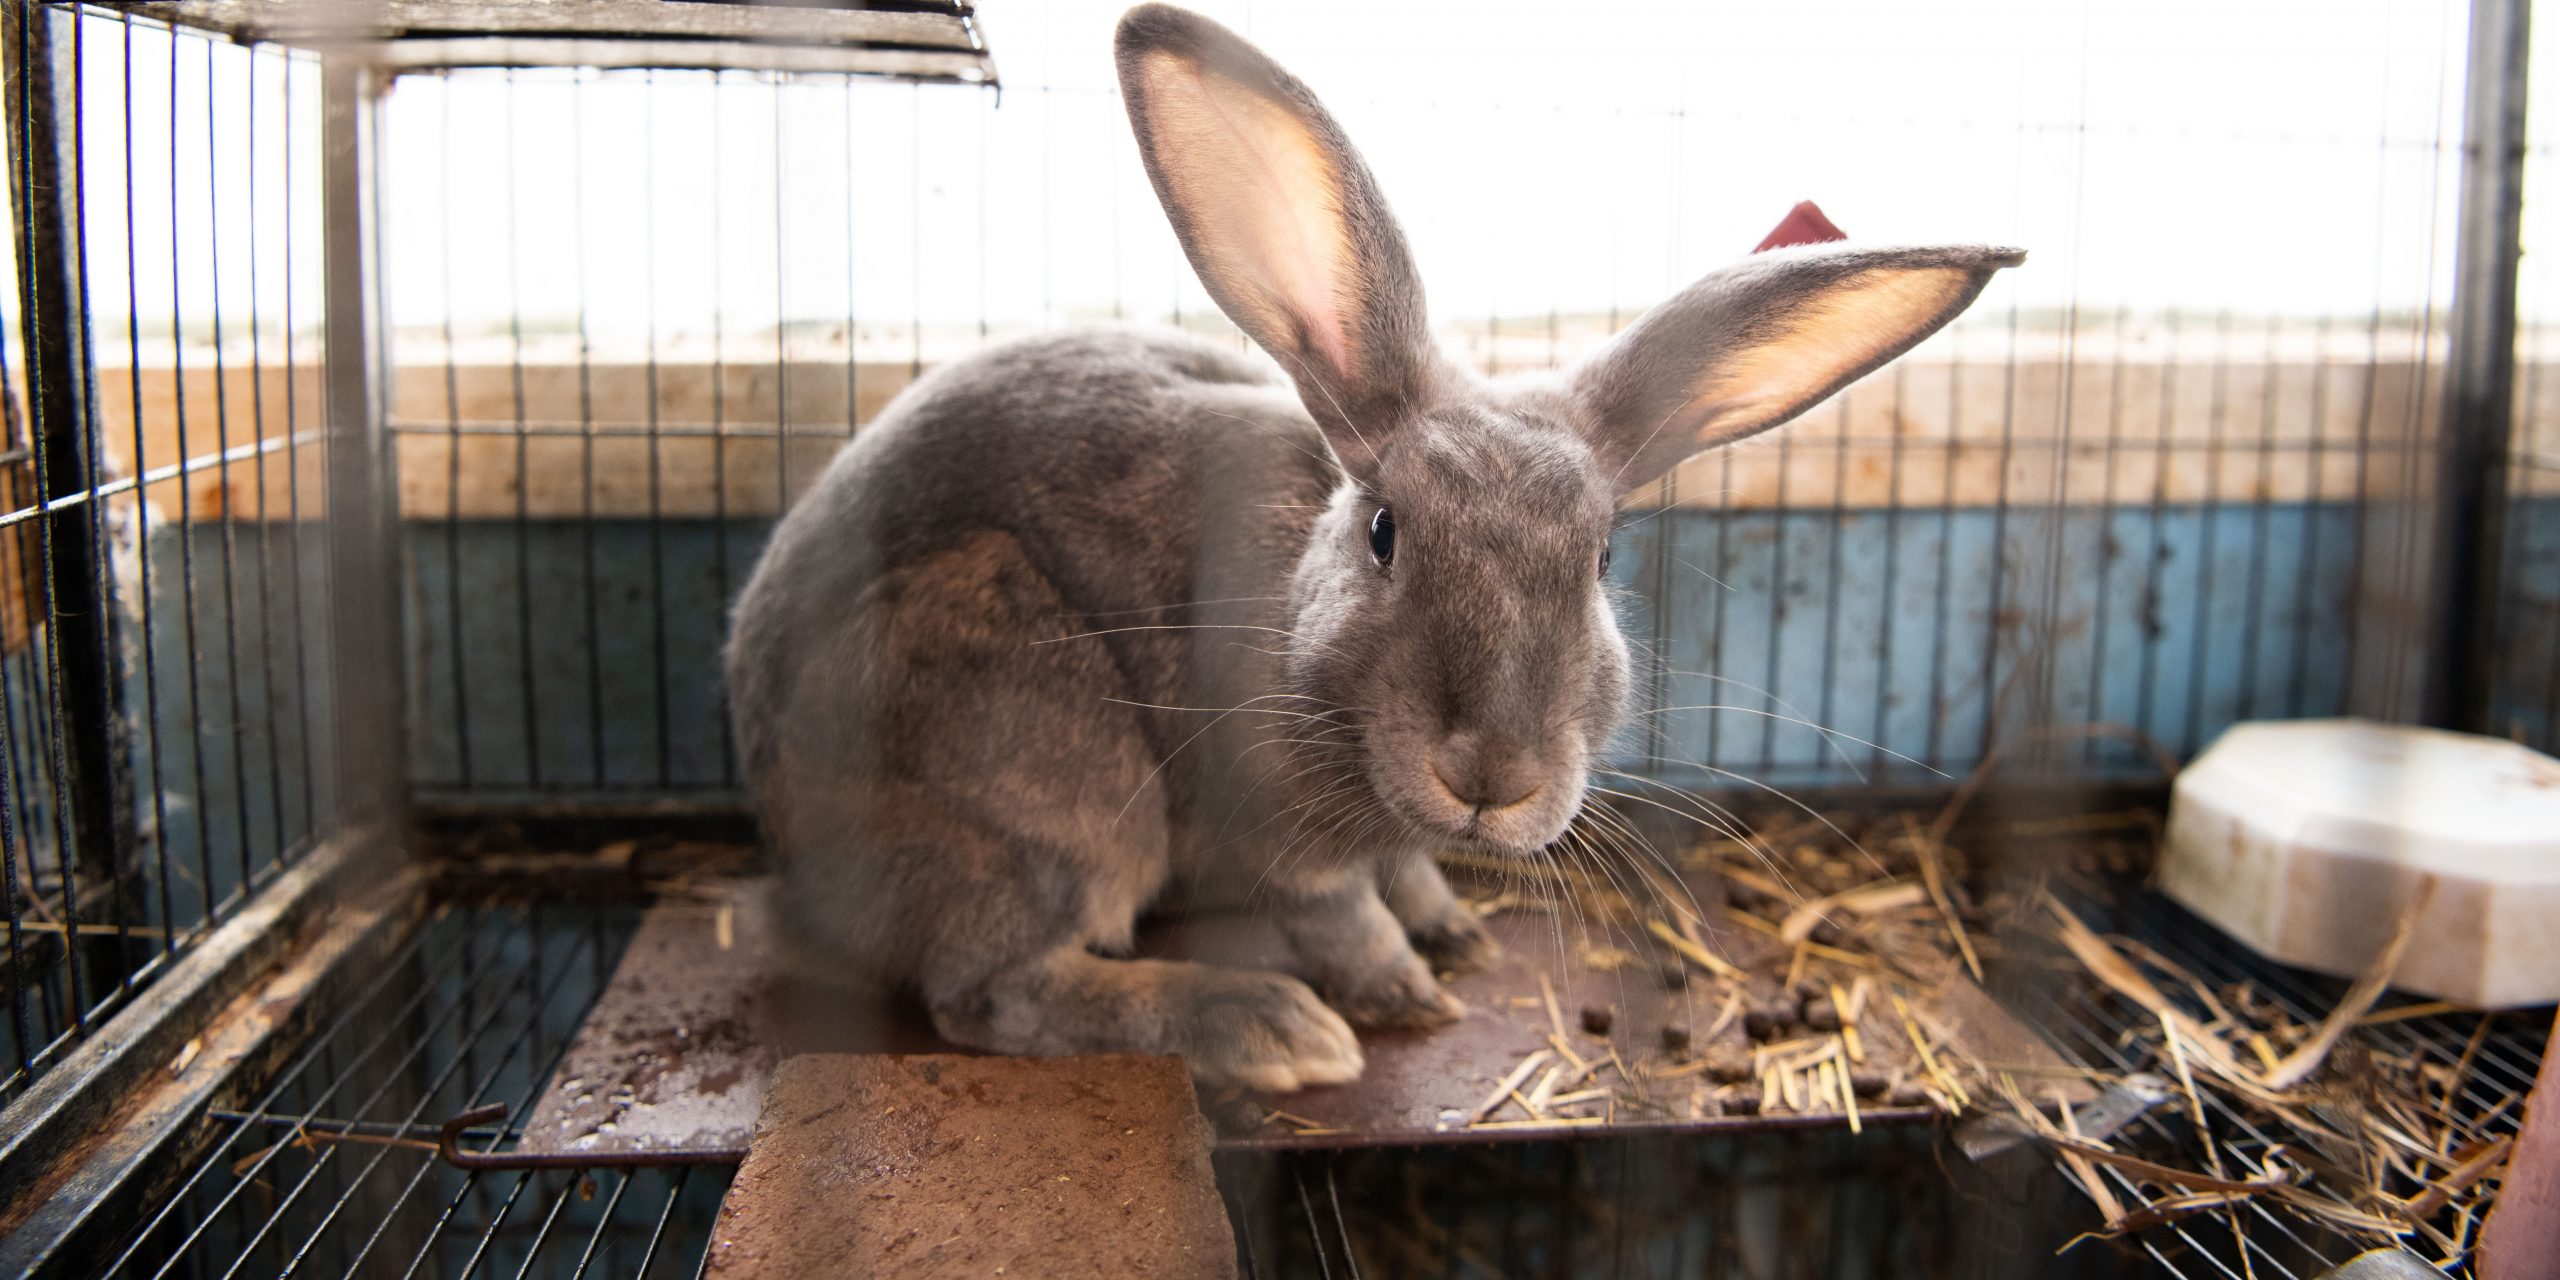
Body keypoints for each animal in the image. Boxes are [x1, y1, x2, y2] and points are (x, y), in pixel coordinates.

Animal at [732, 5, 2027, 1095]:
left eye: (1602, 561)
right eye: (1384, 532)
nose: (1493, 776)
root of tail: (792, 858)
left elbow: (1402, 875)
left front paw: (1445, 926)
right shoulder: (1279, 831)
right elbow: (1336, 909)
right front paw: (1402, 994)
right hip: (1032, 759)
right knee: (993, 990)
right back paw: (1263, 1026)